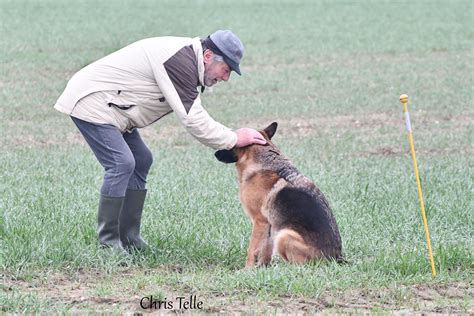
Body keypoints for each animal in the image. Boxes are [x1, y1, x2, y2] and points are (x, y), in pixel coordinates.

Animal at [217, 123, 342, 266]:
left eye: (232, 144)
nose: (215, 153)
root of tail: (336, 258)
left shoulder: (259, 221)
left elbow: (252, 248)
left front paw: (247, 268)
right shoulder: (269, 225)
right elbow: (265, 249)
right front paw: (263, 267)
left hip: (284, 235)